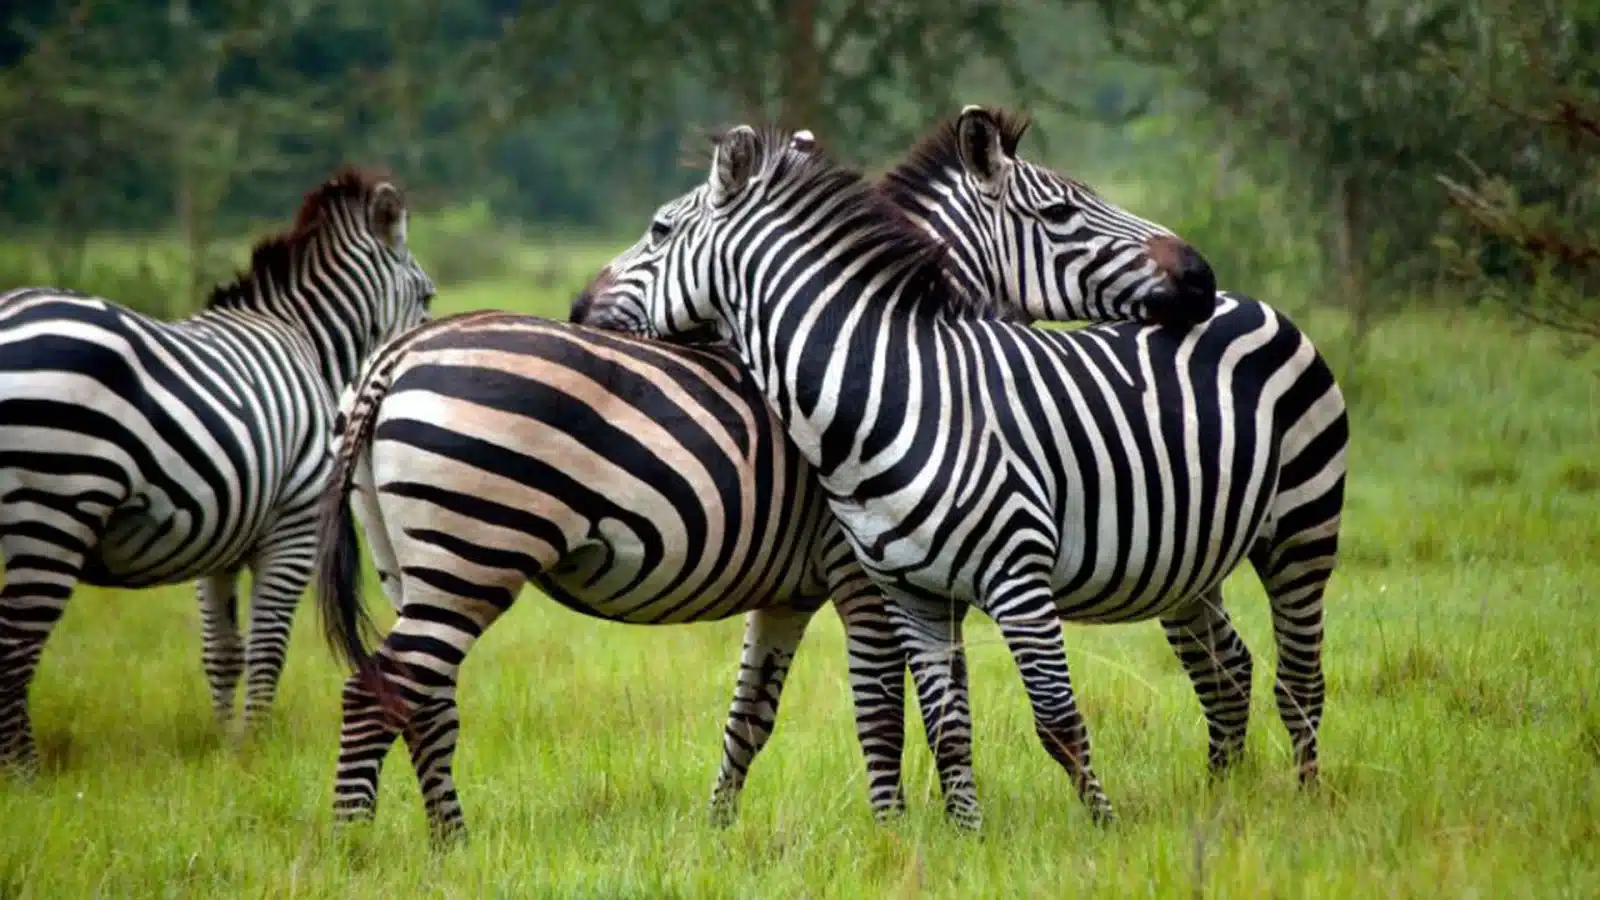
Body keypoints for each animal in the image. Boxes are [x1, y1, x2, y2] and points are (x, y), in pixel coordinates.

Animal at [0, 168, 435, 773]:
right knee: (14, 650)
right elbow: (268, 647)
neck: (309, 343)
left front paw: (229, 750)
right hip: (55, 507)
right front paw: (256, 747)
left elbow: (224, 652)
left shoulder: (222, 532)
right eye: (428, 296)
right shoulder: (293, 525)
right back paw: (24, 774)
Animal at [311, 134, 1217, 840]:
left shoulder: (791, 593)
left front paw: (719, 832)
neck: (888, 360)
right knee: (376, 692)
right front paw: (896, 832)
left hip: (417, 564)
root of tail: (397, 354)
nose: (1202, 277)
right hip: (475, 547)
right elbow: (887, 706)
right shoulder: (864, 577)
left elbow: (754, 717)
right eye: (1064, 213)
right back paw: (358, 847)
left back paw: (450, 843)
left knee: (422, 698)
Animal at [570, 123, 1347, 826]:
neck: (894, 383)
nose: (1199, 276)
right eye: (1060, 213)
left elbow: (948, 714)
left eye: (658, 229)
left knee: (1295, 679)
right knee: (1230, 669)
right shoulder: (893, 588)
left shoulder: (956, 580)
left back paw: (1299, 803)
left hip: (1299, 529)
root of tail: (1255, 304)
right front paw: (945, 832)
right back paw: (1225, 796)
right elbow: (921, 717)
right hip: (1188, 561)